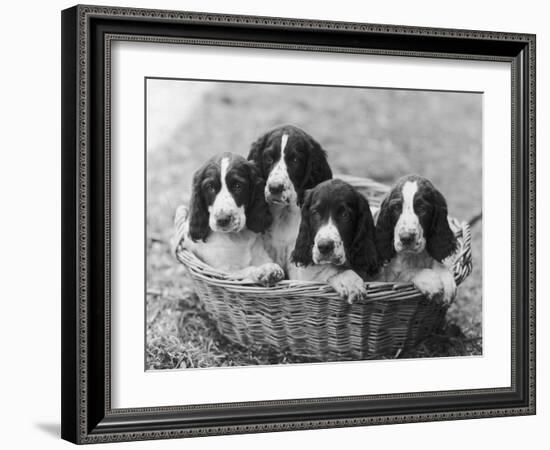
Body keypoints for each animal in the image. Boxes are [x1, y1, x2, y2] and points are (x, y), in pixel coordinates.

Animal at [172, 151, 284, 284]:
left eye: (238, 186)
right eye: (210, 187)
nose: (223, 220)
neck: (238, 238)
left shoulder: (261, 255)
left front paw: (270, 268)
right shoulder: (223, 271)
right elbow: (245, 270)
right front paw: (263, 270)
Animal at [378, 174, 460, 304]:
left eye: (422, 208)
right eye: (396, 207)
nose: (406, 238)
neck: (413, 257)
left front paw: (446, 280)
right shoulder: (387, 278)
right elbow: (404, 274)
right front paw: (430, 280)